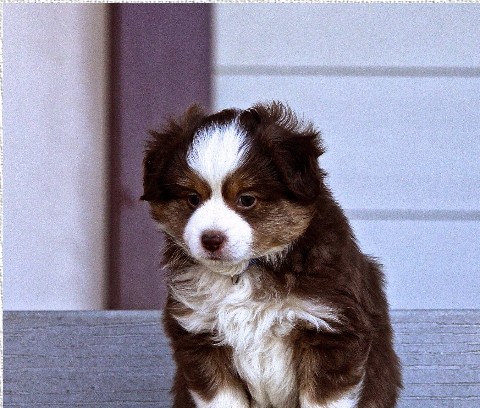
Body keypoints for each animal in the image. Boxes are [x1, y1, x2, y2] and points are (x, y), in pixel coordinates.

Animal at [141, 102, 402, 408]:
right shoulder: (201, 335)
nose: (211, 239)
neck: (246, 272)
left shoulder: (331, 329)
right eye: (193, 198)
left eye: (246, 199)